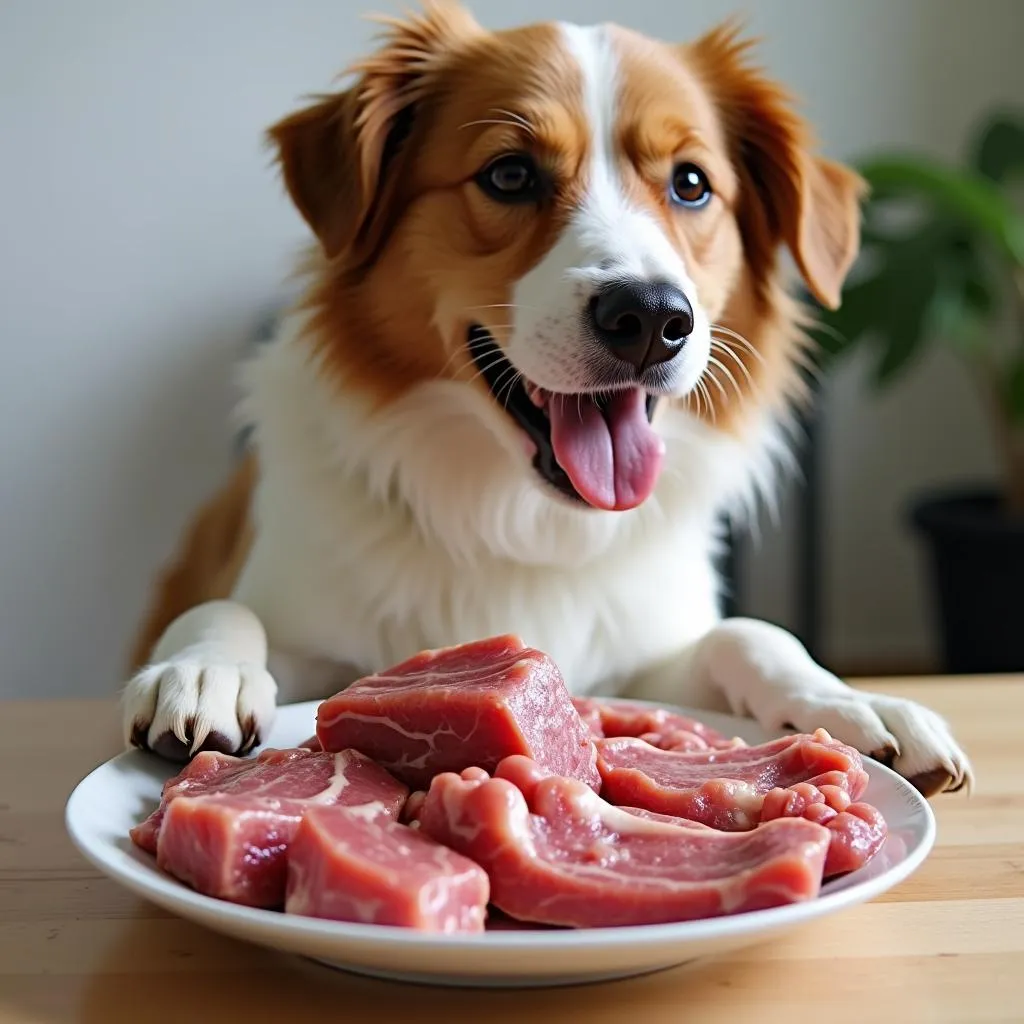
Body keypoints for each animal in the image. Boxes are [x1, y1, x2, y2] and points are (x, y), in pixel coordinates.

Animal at [117, 2, 966, 798]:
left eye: (691, 183)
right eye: (510, 175)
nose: (651, 318)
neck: (522, 522)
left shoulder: (644, 666)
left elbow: (750, 634)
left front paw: (847, 701)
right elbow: (224, 612)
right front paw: (205, 670)